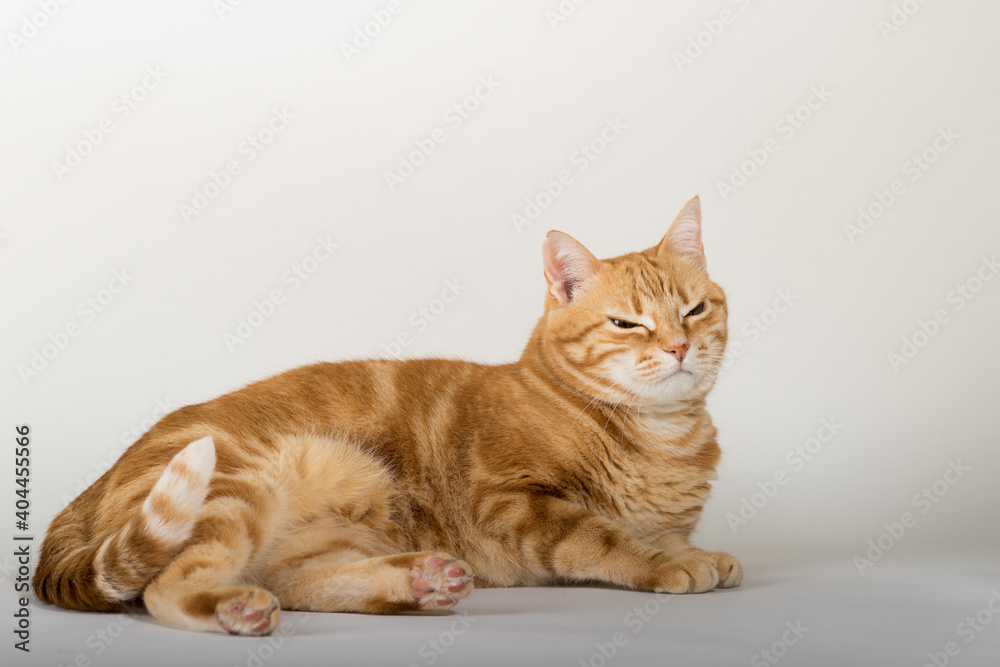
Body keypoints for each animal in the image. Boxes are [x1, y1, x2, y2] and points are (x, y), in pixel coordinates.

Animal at [35, 196, 740, 636]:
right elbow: (605, 537)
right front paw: (667, 565)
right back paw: (234, 611)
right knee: (166, 588)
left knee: (302, 582)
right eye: (627, 324)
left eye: (694, 310)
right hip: (232, 487)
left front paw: (701, 552)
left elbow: (665, 533)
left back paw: (418, 582)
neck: (664, 437)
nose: (677, 347)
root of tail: (96, 483)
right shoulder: (515, 501)